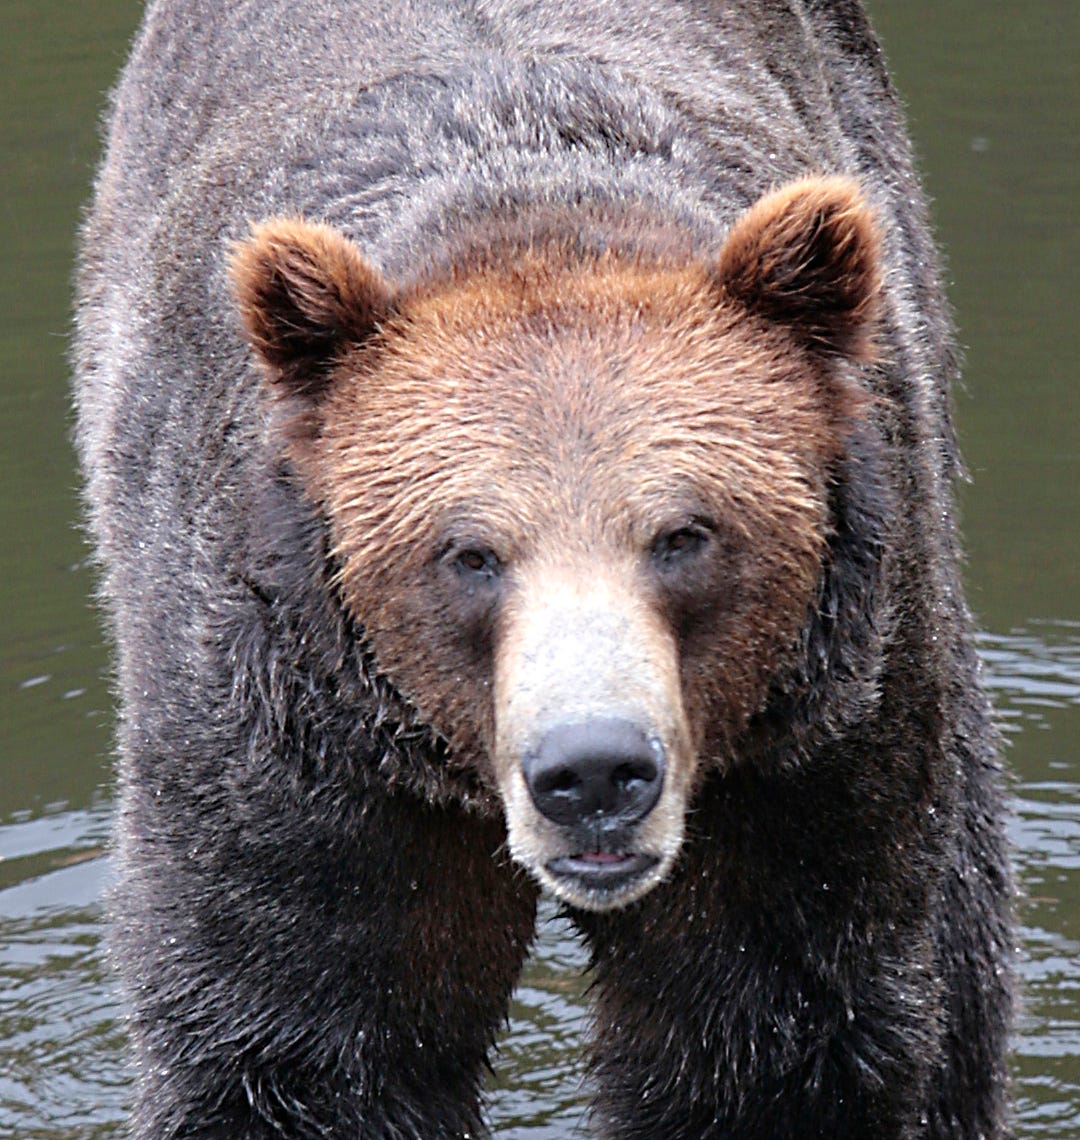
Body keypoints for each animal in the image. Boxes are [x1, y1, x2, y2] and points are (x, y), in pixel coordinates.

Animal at [74, 1, 1013, 1137]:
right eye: (470, 553)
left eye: (685, 534)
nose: (592, 769)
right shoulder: (297, 738)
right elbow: (301, 1037)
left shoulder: (799, 746)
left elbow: (766, 1032)